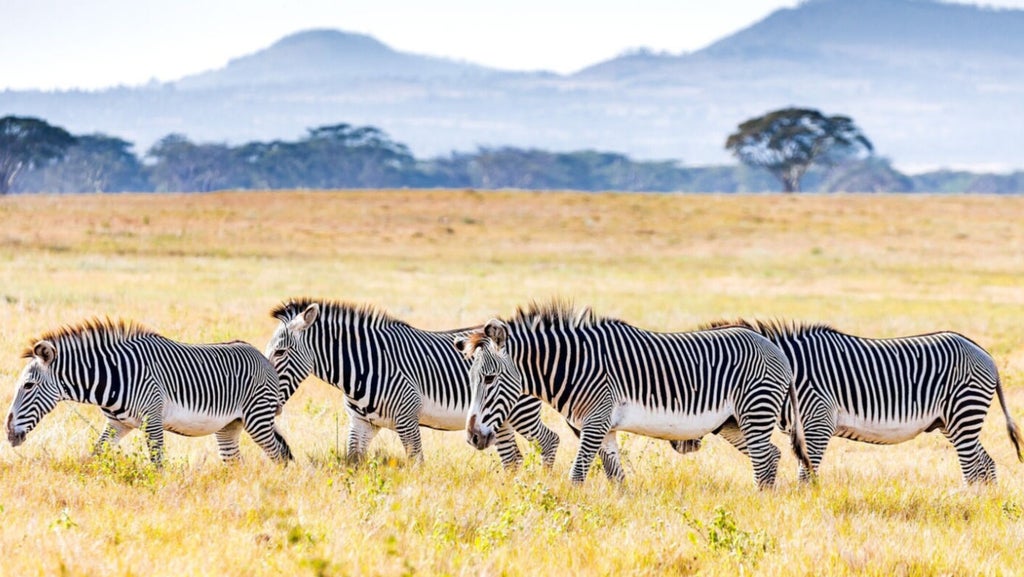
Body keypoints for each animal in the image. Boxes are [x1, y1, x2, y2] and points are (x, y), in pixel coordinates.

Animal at [4, 319, 292, 465]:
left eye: (28, 386)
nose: (8, 433)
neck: (114, 375)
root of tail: (263, 357)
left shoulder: (152, 418)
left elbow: (157, 462)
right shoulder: (118, 424)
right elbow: (96, 454)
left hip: (257, 418)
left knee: (279, 454)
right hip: (229, 425)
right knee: (235, 462)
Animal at [264, 301, 561, 467]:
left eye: (279, 352)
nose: (271, 403)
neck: (367, 364)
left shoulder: (407, 419)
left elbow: (416, 463)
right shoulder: (362, 423)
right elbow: (353, 463)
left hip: (520, 412)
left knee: (549, 441)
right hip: (497, 421)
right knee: (513, 460)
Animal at [456, 303, 806, 487]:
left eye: (489, 379)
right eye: (471, 379)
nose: (472, 437)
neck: (576, 366)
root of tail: (777, 352)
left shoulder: (595, 422)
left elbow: (577, 474)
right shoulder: (604, 428)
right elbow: (616, 477)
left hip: (754, 411)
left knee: (763, 459)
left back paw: (762, 503)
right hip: (733, 423)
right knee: (772, 455)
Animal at [704, 317, 1024, 485]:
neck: (792, 370)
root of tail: (984, 352)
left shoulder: (818, 420)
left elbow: (807, 473)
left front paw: (805, 506)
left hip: (963, 412)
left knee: (973, 465)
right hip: (950, 422)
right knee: (986, 462)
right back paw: (985, 503)